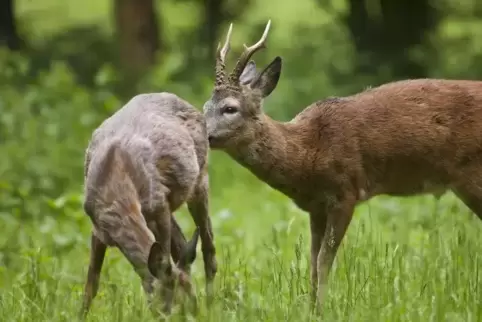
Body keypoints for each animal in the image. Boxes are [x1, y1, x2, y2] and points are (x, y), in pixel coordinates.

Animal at [82, 92, 217, 316]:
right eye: (174, 307)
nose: (195, 314)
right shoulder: (98, 229)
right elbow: (91, 286)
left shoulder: (159, 210)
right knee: (183, 247)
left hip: (200, 180)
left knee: (208, 247)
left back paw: (214, 302)